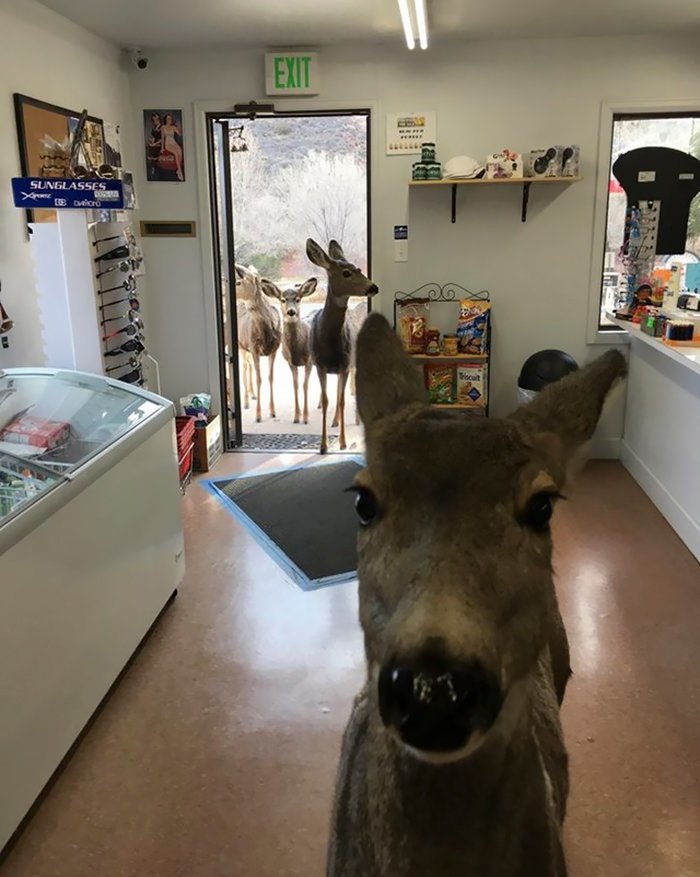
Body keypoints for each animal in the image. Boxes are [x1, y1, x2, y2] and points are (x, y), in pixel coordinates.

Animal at [234, 264, 280, 420]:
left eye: (238, 282)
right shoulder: (253, 347)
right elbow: (259, 378)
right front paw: (258, 415)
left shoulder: (274, 350)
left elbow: (270, 378)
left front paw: (272, 411)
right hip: (240, 346)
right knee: (244, 367)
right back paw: (246, 401)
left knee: (248, 366)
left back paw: (252, 394)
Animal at [262, 276, 318, 422]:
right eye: (283, 299)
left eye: (298, 299)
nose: (291, 311)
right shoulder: (290, 362)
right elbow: (295, 385)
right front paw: (297, 416)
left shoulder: (309, 361)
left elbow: (305, 385)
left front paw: (306, 417)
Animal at [306, 241, 380, 456]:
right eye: (346, 273)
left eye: (359, 269)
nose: (373, 287)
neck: (329, 341)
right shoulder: (320, 365)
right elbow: (326, 400)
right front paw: (323, 446)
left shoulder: (345, 365)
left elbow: (342, 400)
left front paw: (343, 442)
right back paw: (335, 421)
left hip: (352, 363)